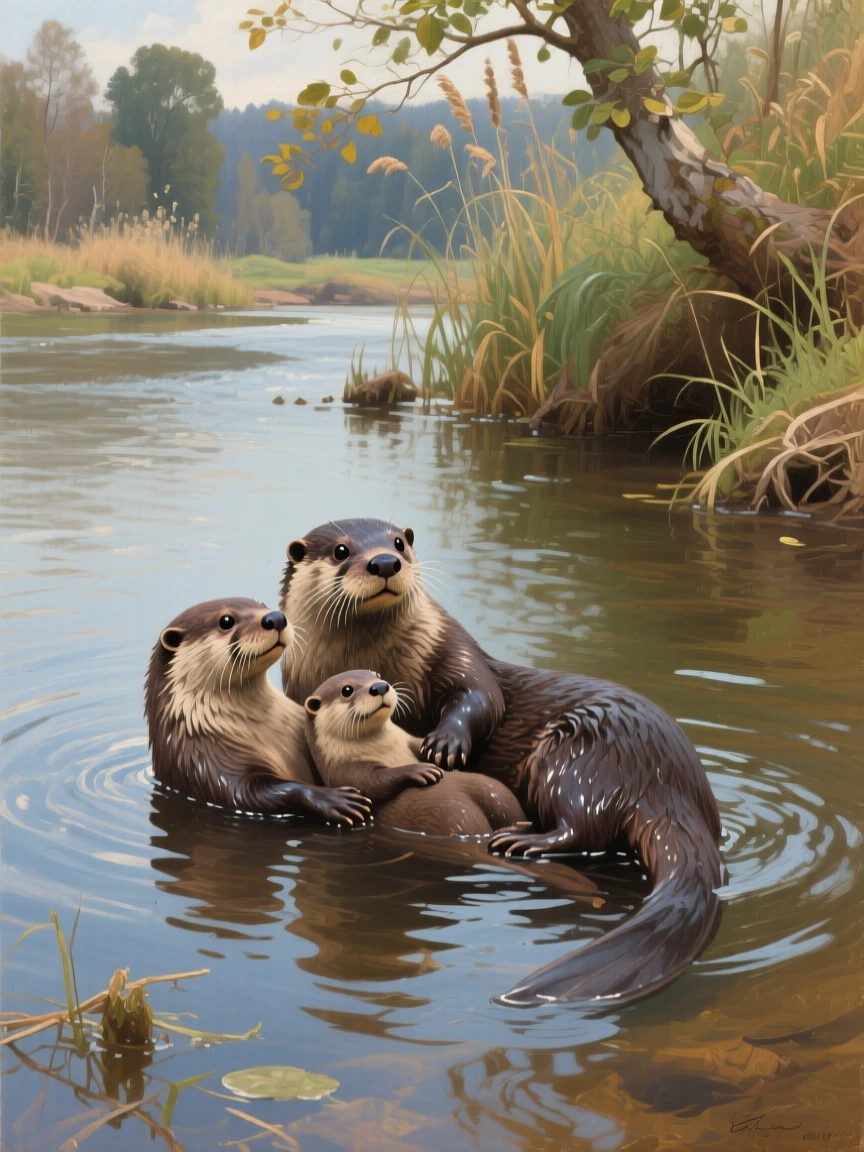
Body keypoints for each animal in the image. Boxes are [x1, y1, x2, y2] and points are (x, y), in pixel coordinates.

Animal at [145, 597, 372, 824]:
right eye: (226, 621)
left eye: (263, 606)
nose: (276, 618)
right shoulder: (205, 763)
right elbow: (248, 794)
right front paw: (333, 799)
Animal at [305, 669, 527, 836]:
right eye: (347, 690)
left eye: (376, 675)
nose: (380, 686)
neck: (386, 747)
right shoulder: (341, 768)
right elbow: (369, 783)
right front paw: (419, 770)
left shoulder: (408, 740)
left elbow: (420, 744)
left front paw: (443, 747)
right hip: (452, 813)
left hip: (494, 792)